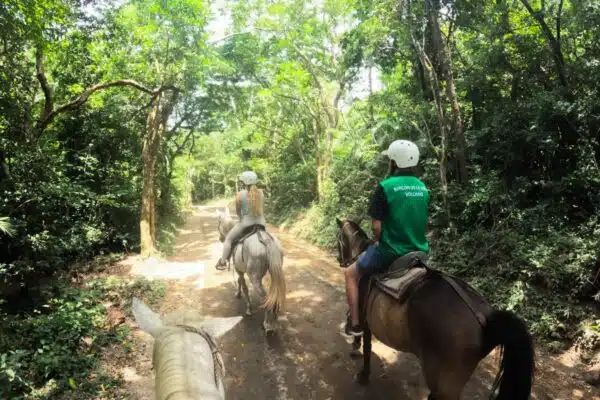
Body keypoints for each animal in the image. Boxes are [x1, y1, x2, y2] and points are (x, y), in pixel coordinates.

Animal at [336, 219, 536, 400]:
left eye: (339, 239)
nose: (340, 260)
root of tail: (484, 318)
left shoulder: (366, 321)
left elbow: (367, 347)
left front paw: (362, 372)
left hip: (444, 381)